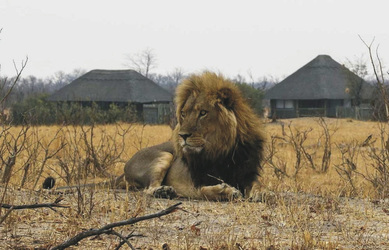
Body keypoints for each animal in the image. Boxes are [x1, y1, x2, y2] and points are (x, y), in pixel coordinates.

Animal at [124, 72, 264, 201]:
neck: (221, 152)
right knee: (147, 189)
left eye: (203, 113)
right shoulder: (190, 185)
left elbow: (257, 185)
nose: (182, 135)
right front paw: (226, 191)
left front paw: (261, 194)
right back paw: (163, 191)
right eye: (183, 114)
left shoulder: (247, 174)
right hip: (165, 156)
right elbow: (203, 191)